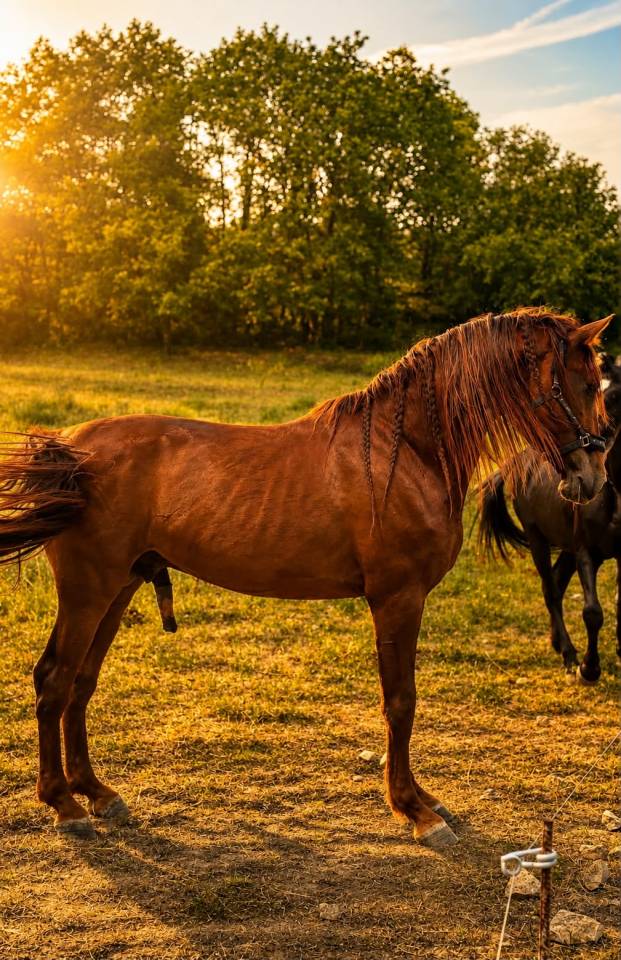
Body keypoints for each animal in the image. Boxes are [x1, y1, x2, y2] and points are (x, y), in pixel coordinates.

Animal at [479, 355, 621, 683]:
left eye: (616, 394)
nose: (597, 443)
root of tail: (517, 461)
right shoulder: (586, 552)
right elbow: (592, 612)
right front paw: (589, 668)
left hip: (565, 546)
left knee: (556, 580)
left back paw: (558, 643)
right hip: (538, 540)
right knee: (550, 589)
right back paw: (568, 653)